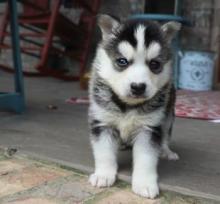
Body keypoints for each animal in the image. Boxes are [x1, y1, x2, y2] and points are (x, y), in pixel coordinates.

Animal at [87, 13, 180, 198]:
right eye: (122, 61)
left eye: (154, 64)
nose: (138, 87)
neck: (128, 106)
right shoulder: (103, 122)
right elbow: (104, 153)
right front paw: (103, 175)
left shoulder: (149, 128)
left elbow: (146, 158)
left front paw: (144, 183)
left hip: (168, 115)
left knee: (165, 136)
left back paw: (166, 151)